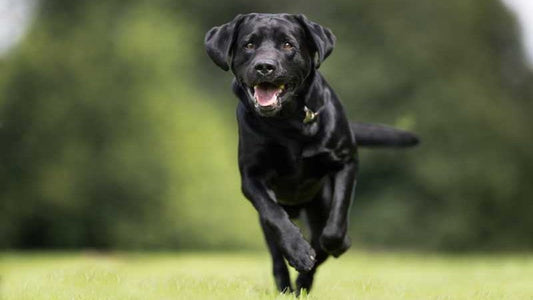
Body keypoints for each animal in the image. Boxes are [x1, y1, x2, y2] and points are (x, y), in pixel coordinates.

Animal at [206, 13, 418, 292]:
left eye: (288, 45)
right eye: (249, 44)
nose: (264, 66)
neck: (288, 123)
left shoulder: (345, 161)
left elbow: (336, 223)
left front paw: (335, 244)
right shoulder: (252, 177)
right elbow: (274, 215)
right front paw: (298, 251)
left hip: (319, 203)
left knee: (321, 238)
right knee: (277, 256)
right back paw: (288, 284)